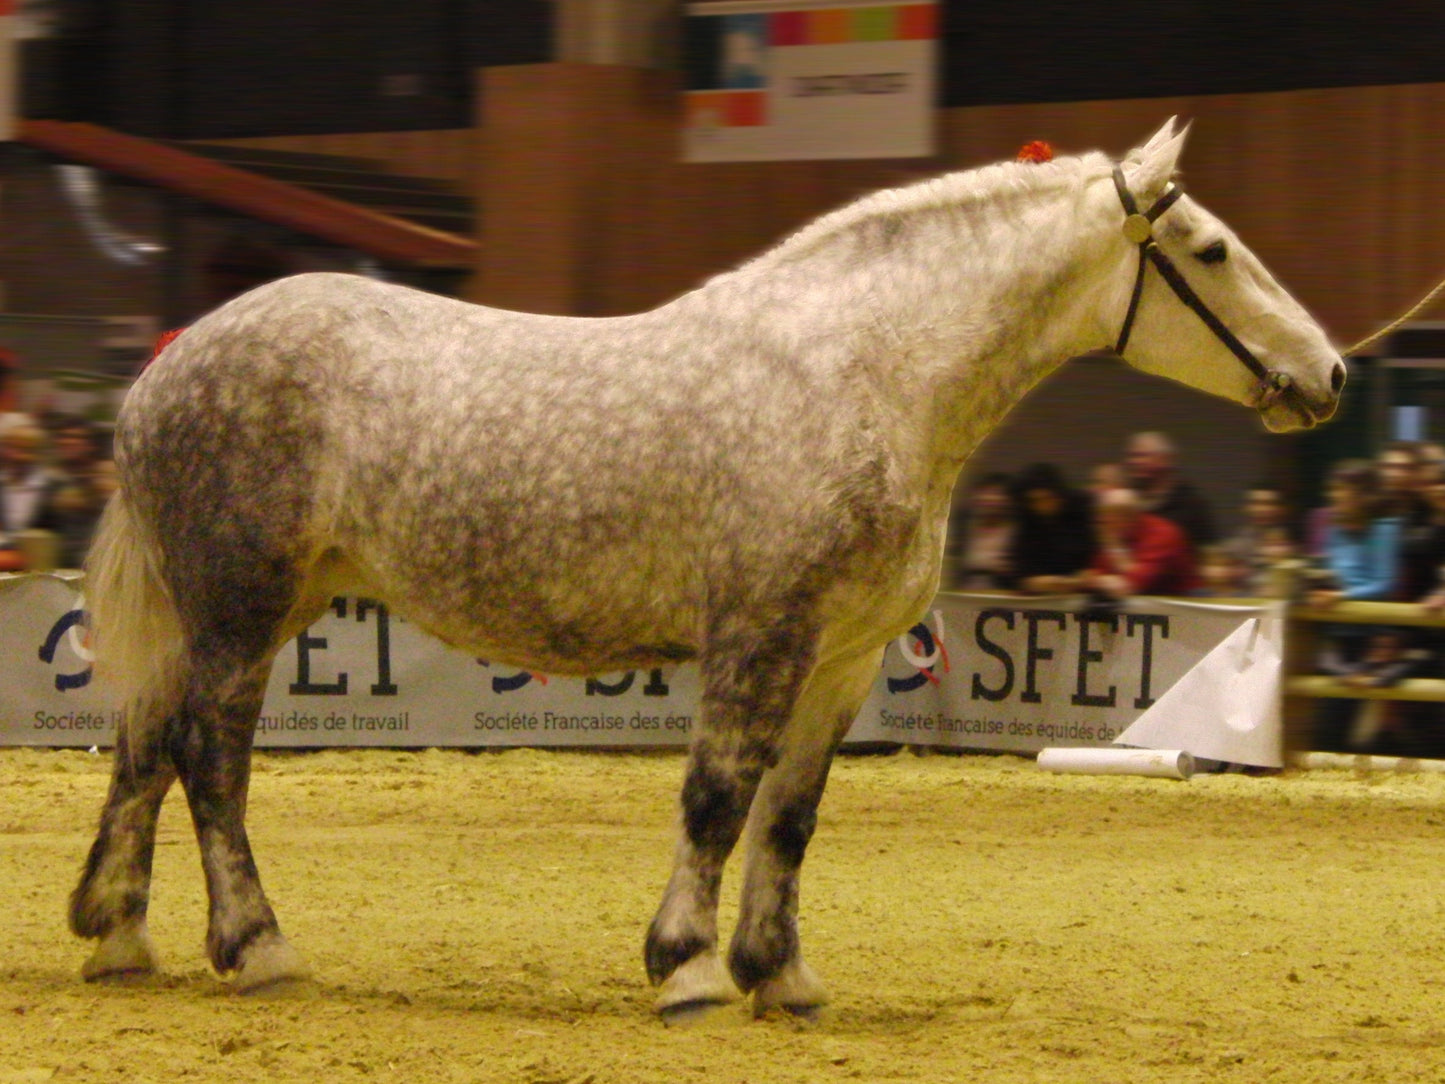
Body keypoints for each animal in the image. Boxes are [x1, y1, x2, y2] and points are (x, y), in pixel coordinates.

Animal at [70, 117, 1344, 1018]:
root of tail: (166, 367)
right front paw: (683, 967)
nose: (1328, 371)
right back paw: (256, 945)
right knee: (209, 759)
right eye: (1210, 250)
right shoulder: (758, 633)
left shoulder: (840, 657)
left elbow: (788, 817)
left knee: (146, 746)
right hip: (240, 608)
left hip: (241, 608)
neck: (863, 372)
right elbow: (716, 796)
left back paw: (120, 934)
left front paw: (777, 972)